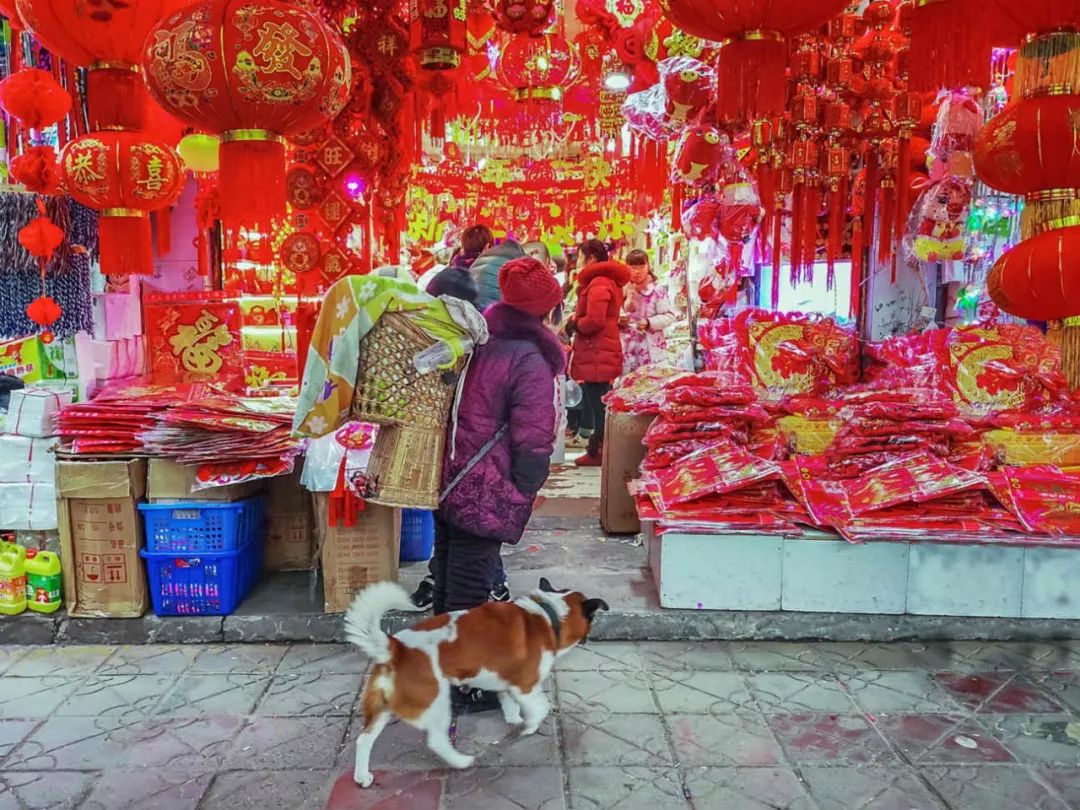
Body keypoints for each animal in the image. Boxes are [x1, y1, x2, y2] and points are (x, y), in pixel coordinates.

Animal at [349, 578, 613, 790]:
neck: (550, 615)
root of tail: (395, 649)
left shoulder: (505, 681)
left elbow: (508, 702)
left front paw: (514, 719)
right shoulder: (525, 686)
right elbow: (540, 707)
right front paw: (528, 727)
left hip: (383, 708)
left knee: (363, 740)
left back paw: (362, 777)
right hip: (435, 703)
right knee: (436, 740)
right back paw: (461, 761)